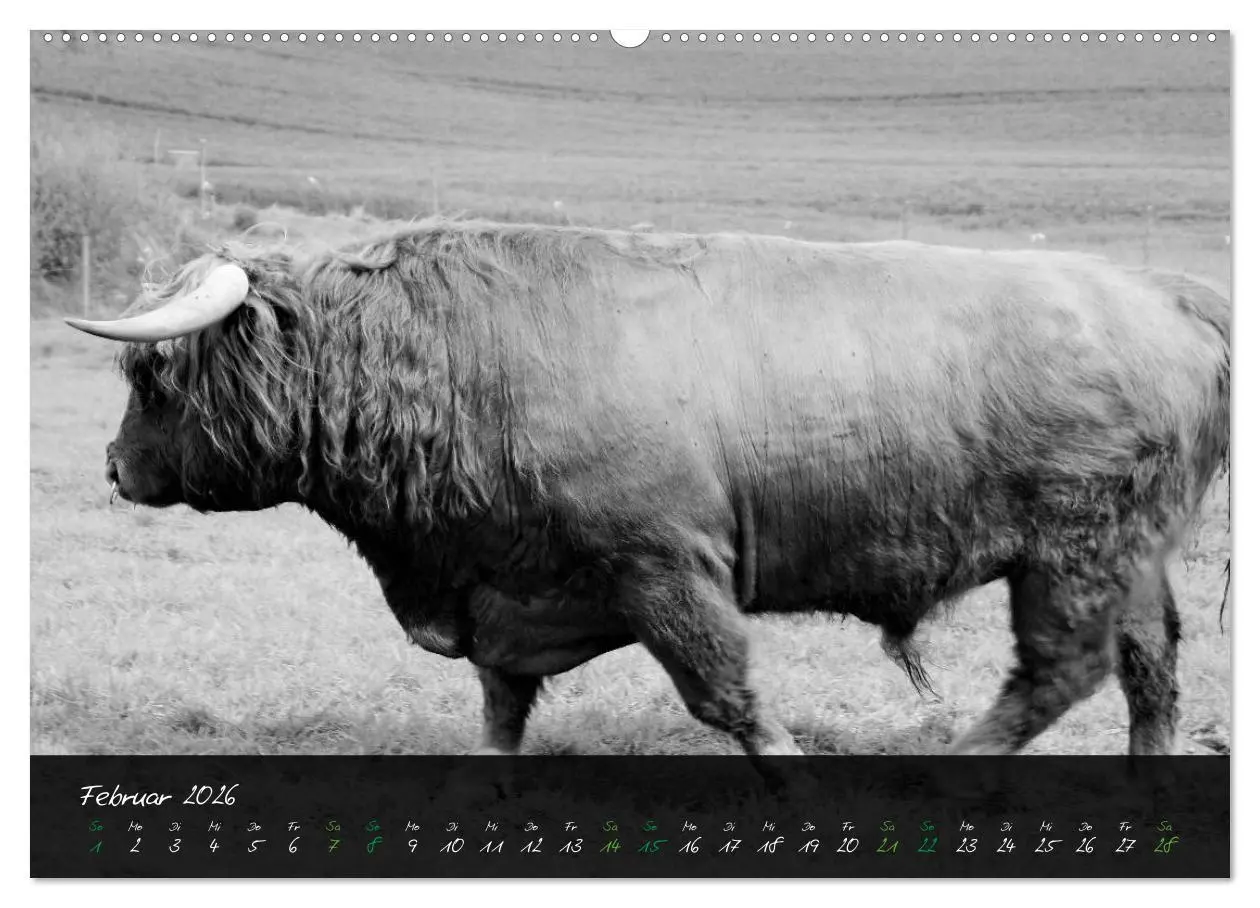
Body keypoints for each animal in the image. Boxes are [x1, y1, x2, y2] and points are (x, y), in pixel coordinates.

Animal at [66, 219, 1230, 765]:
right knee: (1151, 669)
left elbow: (728, 695)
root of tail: (1161, 293)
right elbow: (501, 705)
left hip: (1071, 555)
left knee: (1063, 670)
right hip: (1129, 559)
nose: (115, 465)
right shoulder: (510, 591)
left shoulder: (665, 568)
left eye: (153, 375)